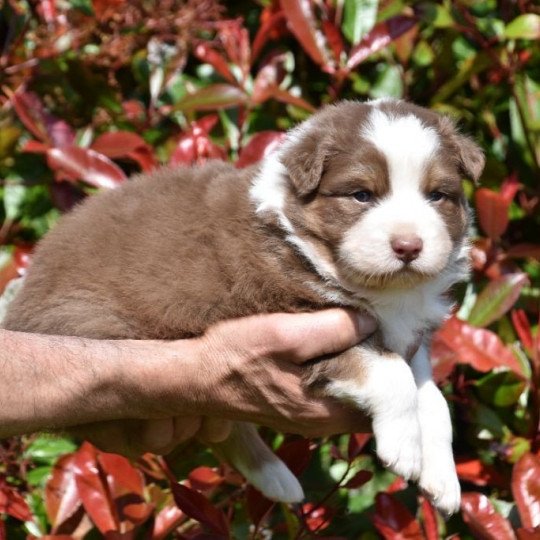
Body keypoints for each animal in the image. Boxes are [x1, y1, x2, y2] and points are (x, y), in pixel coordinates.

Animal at [2, 98, 484, 516]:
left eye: (437, 196)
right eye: (362, 195)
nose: (408, 246)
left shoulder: (410, 336)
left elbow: (433, 400)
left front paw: (443, 480)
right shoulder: (304, 325)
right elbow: (391, 373)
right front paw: (404, 448)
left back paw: (277, 479)